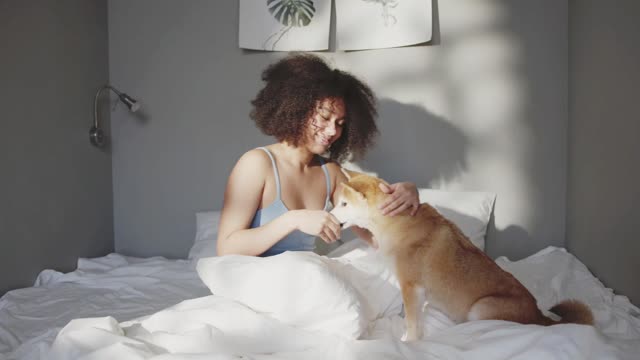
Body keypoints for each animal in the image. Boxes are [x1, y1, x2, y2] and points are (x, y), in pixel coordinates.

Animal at [330, 171, 596, 340]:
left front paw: (408, 342)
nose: (330, 216)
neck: (395, 222)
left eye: (343, 204)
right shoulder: (417, 291)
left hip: (481, 308)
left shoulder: (410, 286)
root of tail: (540, 318)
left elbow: (412, 324)